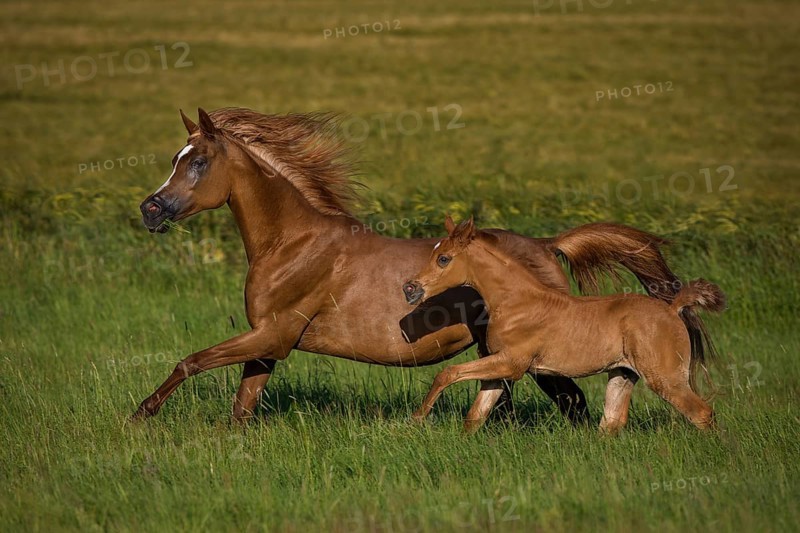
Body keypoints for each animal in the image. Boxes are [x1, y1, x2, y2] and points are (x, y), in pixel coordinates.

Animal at [402, 216, 726, 433]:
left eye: (444, 258)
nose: (410, 288)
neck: (517, 302)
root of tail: (673, 309)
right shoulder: (498, 368)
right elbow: (474, 416)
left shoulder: (512, 363)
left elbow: (447, 373)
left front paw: (416, 419)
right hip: (622, 374)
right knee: (611, 423)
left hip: (665, 378)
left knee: (701, 413)